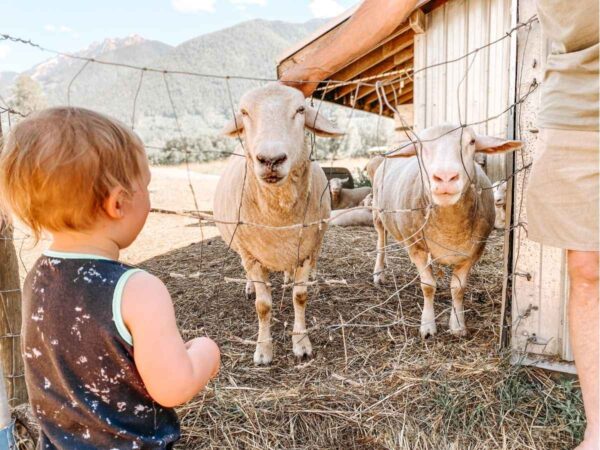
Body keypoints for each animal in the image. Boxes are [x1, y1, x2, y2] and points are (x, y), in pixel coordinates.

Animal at [213, 83, 342, 366]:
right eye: (244, 112)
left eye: (300, 110)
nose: (271, 160)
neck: (278, 218)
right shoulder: (251, 255)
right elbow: (263, 306)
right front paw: (263, 350)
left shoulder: (305, 250)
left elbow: (299, 297)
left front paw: (301, 343)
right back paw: (250, 286)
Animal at [370, 124, 520, 338]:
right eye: (420, 146)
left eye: (472, 142)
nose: (446, 178)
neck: (449, 228)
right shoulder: (416, 248)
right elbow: (427, 286)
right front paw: (427, 326)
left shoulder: (474, 252)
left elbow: (458, 288)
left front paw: (457, 326)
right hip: (377, 210)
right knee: (381, 237)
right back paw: (379, 272)